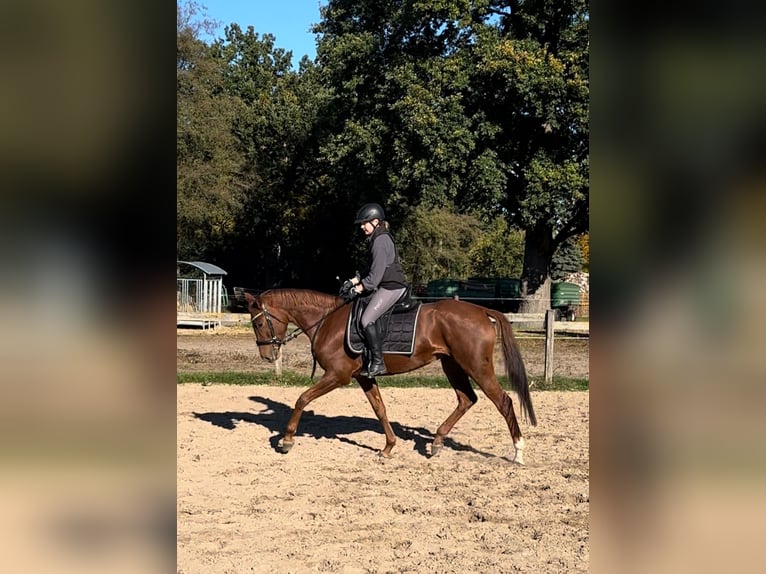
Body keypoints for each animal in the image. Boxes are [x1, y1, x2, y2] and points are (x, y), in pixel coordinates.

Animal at [244, 288, 537, 464]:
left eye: (258, 323)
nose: (267, 355)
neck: (326, 321)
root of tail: (481, 311)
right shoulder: (364, 377)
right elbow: (380, 409)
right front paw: (388, 447)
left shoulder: (338, 376)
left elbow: (302, 399)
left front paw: (286, 440)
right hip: (452, 365)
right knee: (466, 399)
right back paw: (436, 442)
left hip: (476, 366)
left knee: (503, 401)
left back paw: (518, 452)